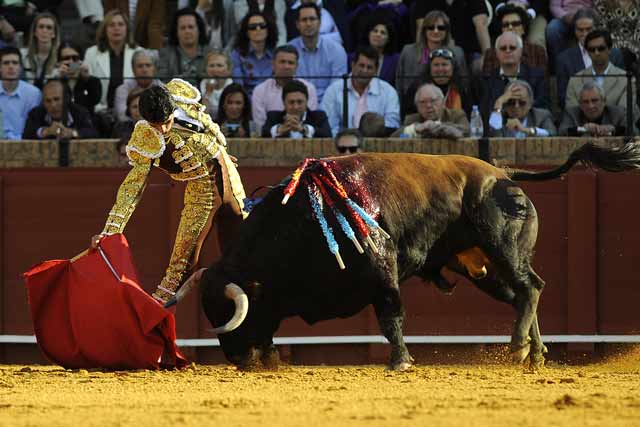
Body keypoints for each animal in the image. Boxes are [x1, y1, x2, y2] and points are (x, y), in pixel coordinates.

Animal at [169, 144, 640, 372]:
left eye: (231, 313)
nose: (235, 359)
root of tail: (503, 174)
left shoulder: (383, 272)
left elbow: (390, 318)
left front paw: (401, 361)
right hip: (483, 269)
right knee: (524, 295)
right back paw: (535, 354)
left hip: (503, 249)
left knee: (531, 287)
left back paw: (520, 347)